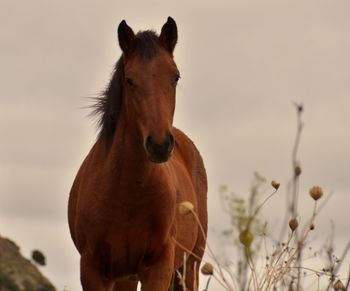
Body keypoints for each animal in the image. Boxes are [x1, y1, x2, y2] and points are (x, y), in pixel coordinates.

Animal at [67, 18, 206, 291]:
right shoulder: (93, 271)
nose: (160, 144)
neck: (127, 192)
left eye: (175, 77)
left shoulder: (158, 268)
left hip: (190, 266)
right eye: (130, 80)